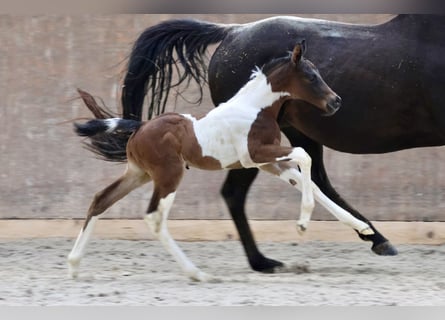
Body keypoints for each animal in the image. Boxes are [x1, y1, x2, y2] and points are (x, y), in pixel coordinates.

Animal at [67, 42, 372, 280]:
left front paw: (363, 228)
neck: (255, 109)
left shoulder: (268, 163)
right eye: (310, 76)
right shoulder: (256, 155)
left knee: (101, 199)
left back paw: (73, 265)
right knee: (154, 217)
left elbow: (310, 182)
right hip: (169, 175)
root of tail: (140, 126)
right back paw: (197, 273)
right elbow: (303, 154)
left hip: (138, 173)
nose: (335, 102)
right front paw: (303, 224)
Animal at [119, 14, 444, 272]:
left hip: (297, 133)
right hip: (257, 145)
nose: (336, 102)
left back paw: (372, 237)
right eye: (311, 76)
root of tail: (232, 32)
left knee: (315, 179)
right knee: (236, 193)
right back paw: (264, 262)